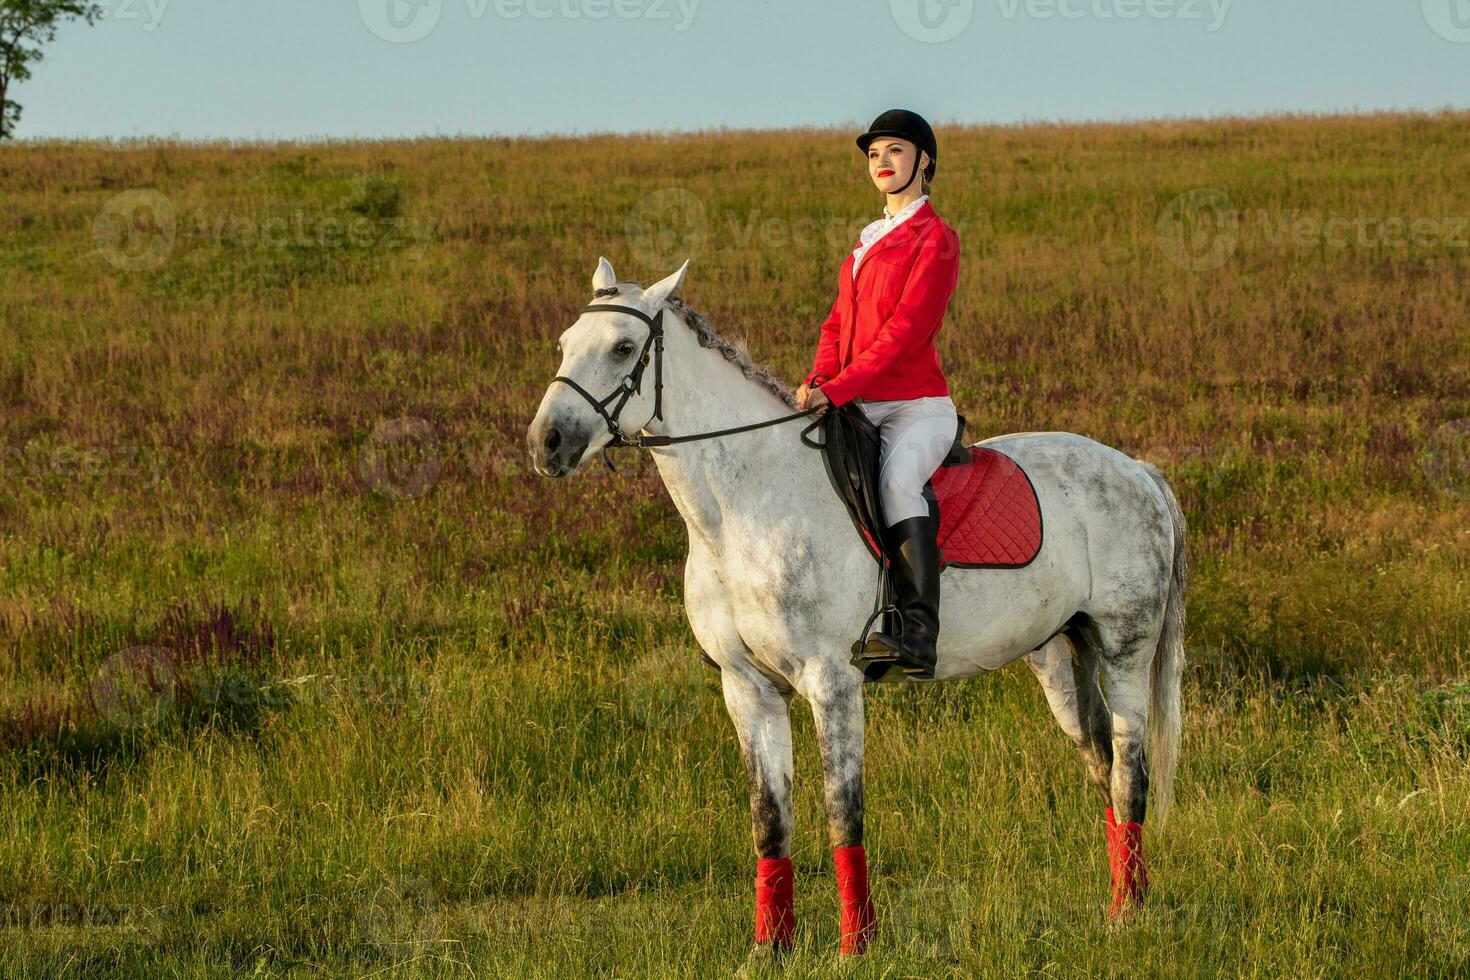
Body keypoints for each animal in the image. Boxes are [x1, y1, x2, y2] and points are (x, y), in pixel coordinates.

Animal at [523, 257, 1187, 952]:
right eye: (565, 344)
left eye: (624, 348)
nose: (547, 443)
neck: (742, 511)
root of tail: (1139, 471)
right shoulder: (746, 686)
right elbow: (770, 820)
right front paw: (770, 948)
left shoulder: (832, 680)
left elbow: (844, 812)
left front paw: (856, 945)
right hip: (1060, 658)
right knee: (1104, 766)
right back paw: (1120, 905)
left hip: (1125, 651)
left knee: (1131, 772)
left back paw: (1128, 918)